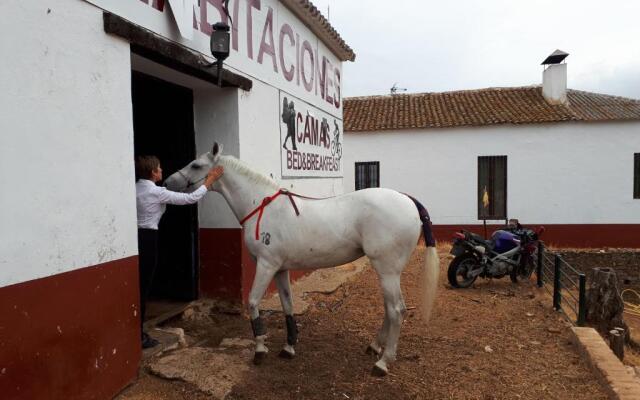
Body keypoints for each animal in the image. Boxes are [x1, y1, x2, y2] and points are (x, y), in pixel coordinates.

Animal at [165, 143, 440, 376]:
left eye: (196, 165)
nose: (167, 182)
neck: (261, 206)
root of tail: (407, 200)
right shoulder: (280, 269)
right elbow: (287, 305)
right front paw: (289, 347)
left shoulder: (265, 265)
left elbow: (253, 302)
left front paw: (260, 350)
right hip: (387, 272)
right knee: (389, 309)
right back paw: (374, 346)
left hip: (387, 269)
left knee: (397, 310)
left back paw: (383, 362)